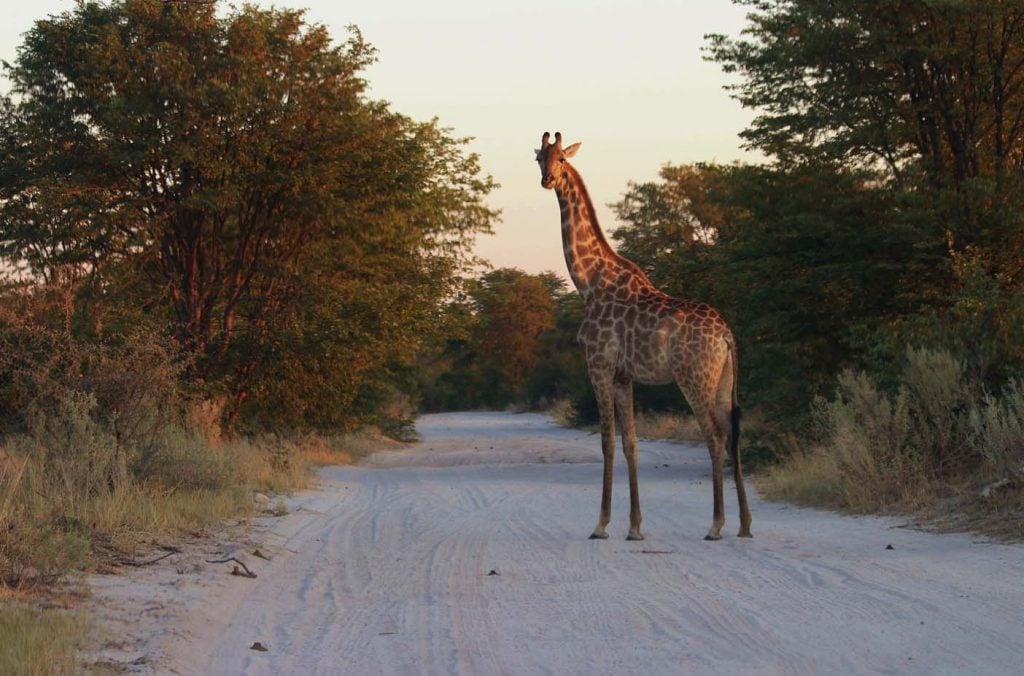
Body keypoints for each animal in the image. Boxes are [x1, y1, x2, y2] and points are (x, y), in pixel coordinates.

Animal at [536, 132, 753, 540]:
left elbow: (606, 441)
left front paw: (601, 524)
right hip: (724, 380)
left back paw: (716, 524)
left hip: (694, 377)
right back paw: (746, 525)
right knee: (733, 434)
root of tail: (727, 335)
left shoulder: (599, 366)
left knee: (714, 435)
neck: (587, 282)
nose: (548, 180)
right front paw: (635, 526)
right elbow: (630, 443)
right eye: (540, 158)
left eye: (562, 159)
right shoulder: (624, 375)